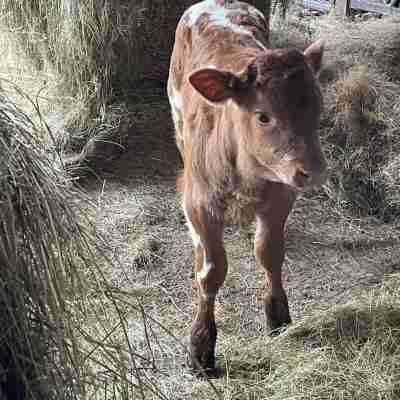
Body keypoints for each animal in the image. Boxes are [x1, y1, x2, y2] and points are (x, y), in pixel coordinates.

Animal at [167, 1, 326, 374]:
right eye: (263, 116)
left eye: (318, 105)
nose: (313, 171)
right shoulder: (198, 202)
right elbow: (211, 271)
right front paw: (201, 345)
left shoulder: (281, 194)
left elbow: (269, 252)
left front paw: (278, 316)